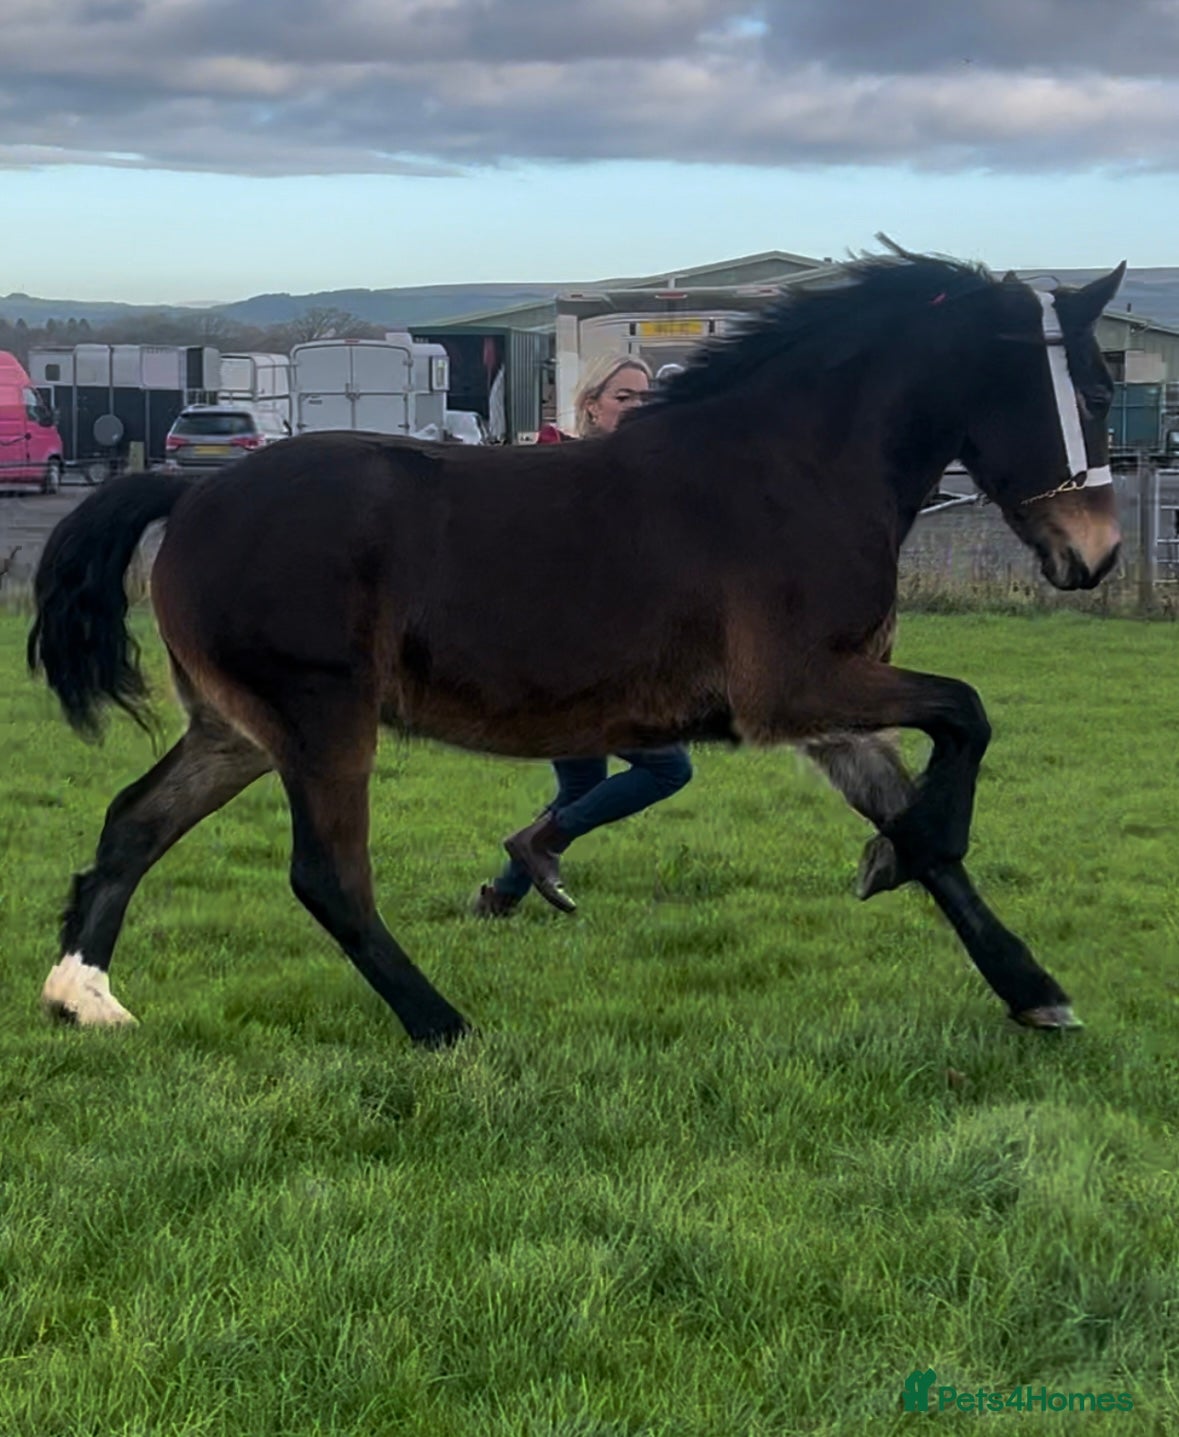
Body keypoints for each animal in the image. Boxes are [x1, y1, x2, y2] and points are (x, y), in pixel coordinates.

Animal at [27, 247, 1125, 1047]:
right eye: (1096, 394)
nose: (1098, 554)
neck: (794, 471)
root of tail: (193, 492)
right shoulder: (802, 689)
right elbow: (966, 720)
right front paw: (893, 862)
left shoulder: (834, 713)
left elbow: (933, 825)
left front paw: (1031, 987)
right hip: (320, 720)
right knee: (327, 877)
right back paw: (443, 1025)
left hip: (239, 731)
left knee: (134, 823)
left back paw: (84, 994)